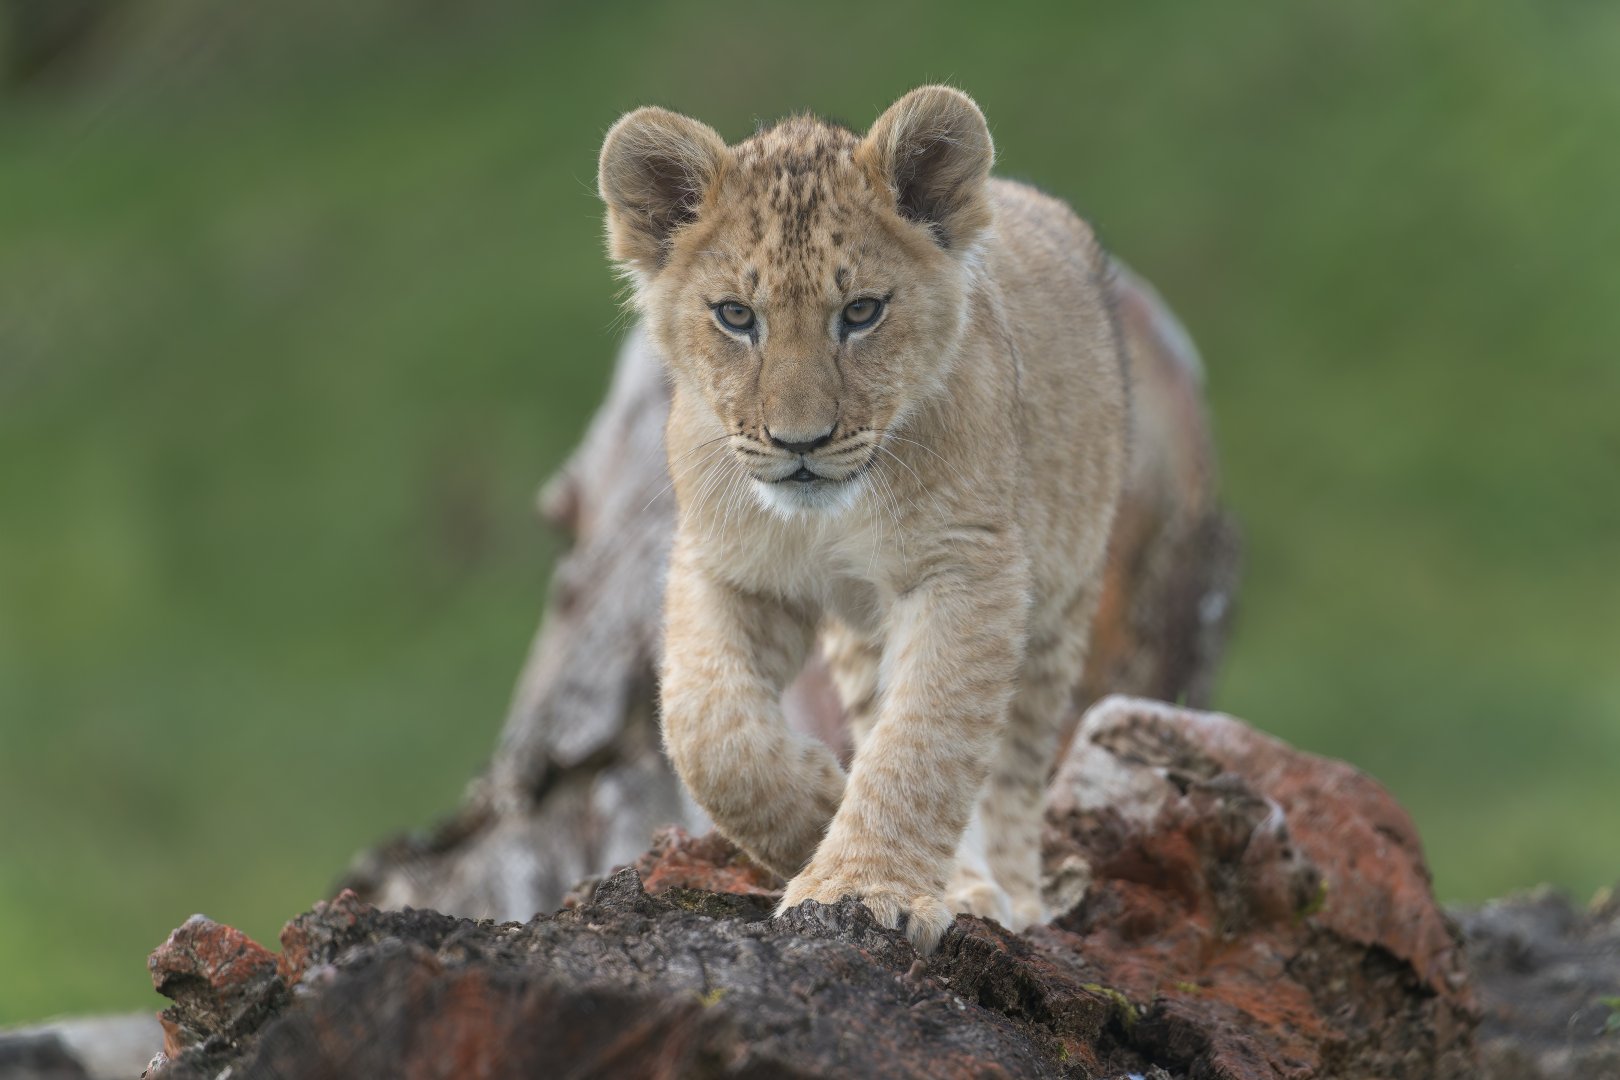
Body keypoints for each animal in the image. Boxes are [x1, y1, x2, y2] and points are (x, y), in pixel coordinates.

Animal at [597, 86, 1128, 952]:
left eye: (862, 312)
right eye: (736, 315)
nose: (800, 443)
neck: (828, 517)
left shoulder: (966, 566)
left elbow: (925, 738)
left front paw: (863, 886)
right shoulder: (726, 567)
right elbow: (706, 726)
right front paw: (819, 803)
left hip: (1064, 592)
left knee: (1014, 763)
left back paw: (1004, 892)